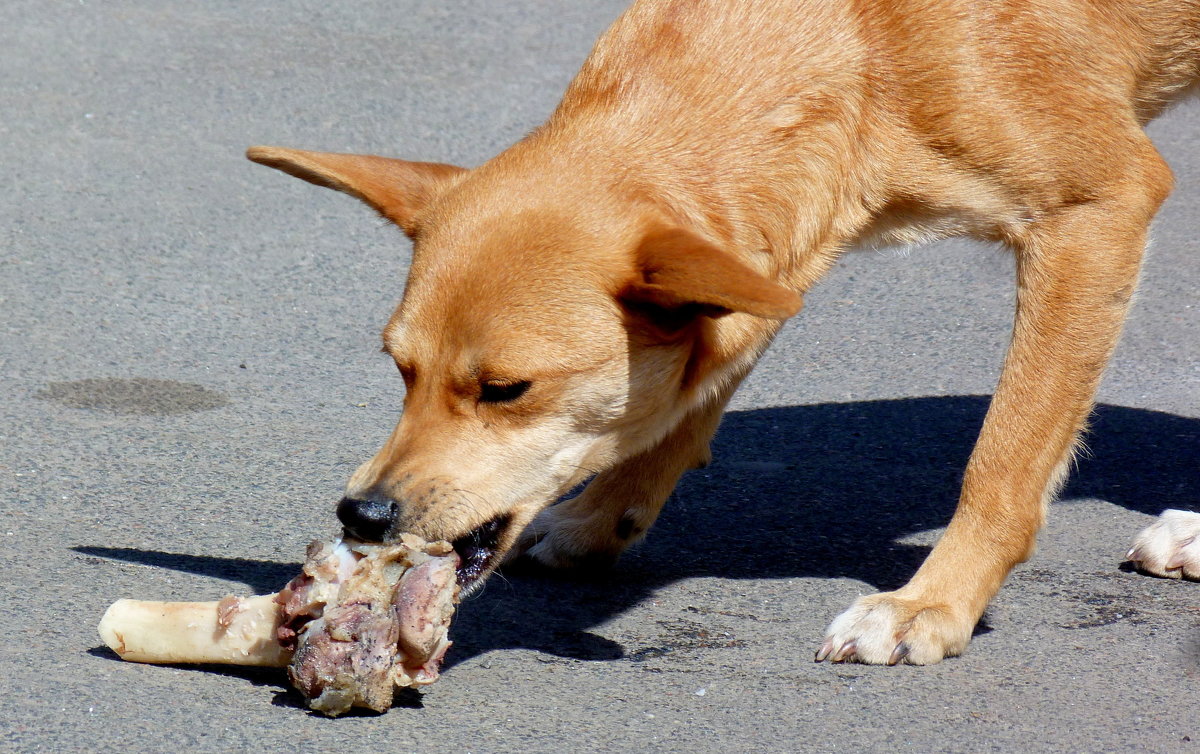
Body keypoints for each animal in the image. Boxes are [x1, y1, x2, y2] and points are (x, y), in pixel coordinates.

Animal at [246, 0, 1200, 662]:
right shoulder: (759, 263)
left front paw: (933, 602)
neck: (861, 43)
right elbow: (696, 388)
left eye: (505, 390)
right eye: (398, 370)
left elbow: (1003, 458)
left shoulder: (1097, 211)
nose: (363, 513)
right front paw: (605, 515)